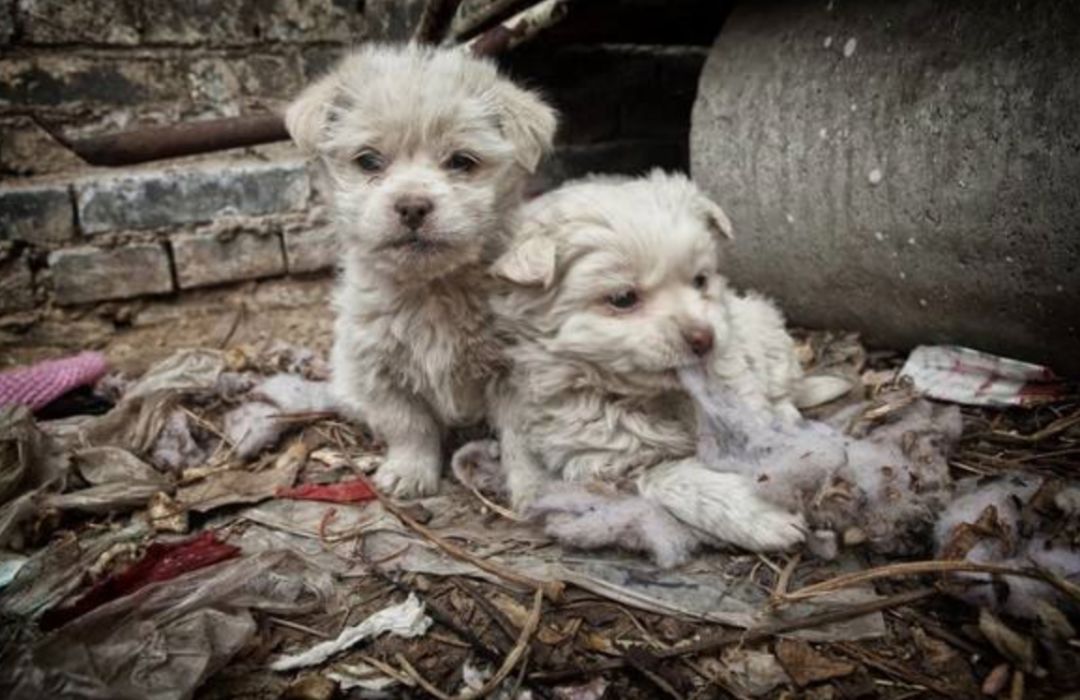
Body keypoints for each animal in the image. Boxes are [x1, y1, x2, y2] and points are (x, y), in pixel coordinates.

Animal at [285, 45, 557, 496]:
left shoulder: (518, 376)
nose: (412, 206)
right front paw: (409, 472)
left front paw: (535, 489)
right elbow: (409, 425)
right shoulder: (379, 371)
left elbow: (522, 438)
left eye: (462, 161)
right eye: (368, 161)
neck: (432, 288)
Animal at [490, 168, 812, 553]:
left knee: (783, 386)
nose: (704, 338)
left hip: (762, 324)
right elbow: (676, 478)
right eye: (623, 299)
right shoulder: (609, 459)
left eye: (700, 280)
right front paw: (762, 515)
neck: (657, 397)